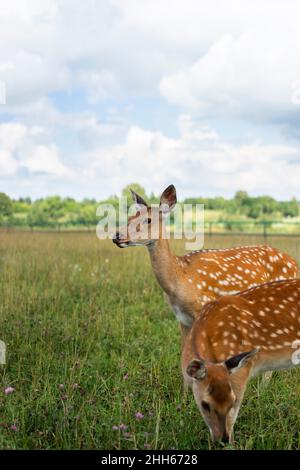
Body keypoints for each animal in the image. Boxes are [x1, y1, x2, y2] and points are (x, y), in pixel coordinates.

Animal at [112, 185, 298, 344]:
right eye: (130, 217)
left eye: (148, 220)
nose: (117, 236)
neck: (180, 277)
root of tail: (294, 262)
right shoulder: (182, 319)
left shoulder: (204, 307)